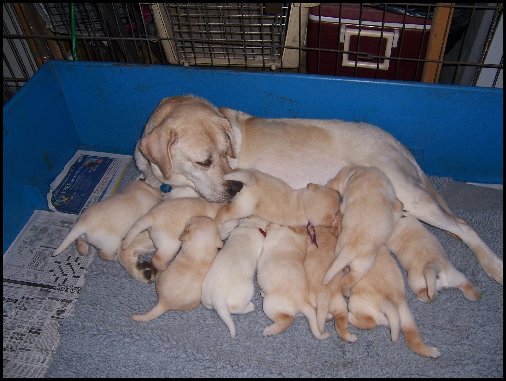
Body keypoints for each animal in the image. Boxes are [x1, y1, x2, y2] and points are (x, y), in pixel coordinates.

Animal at [324, 164, 404, 294]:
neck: (356, 173)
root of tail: (348, 250)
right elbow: (397, 207)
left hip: (344, 256)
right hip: (363, 266)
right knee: (346, 281)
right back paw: (346, 292)